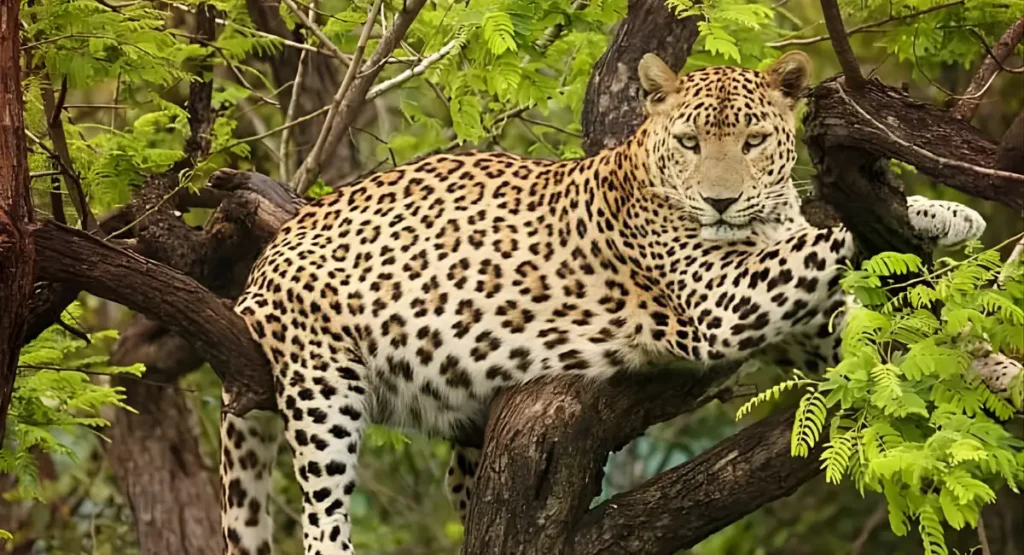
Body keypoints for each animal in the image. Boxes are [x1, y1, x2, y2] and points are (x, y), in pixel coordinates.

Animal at [219, 51, 1004, 555]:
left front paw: (990, 353)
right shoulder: (723, 300)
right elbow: (819, 239)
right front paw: (929, 216)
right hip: (323, 384)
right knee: (321, 516)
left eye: (753, 141)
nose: (720, 201)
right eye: (689, 141)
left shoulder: (805, 332)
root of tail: (263, 262)